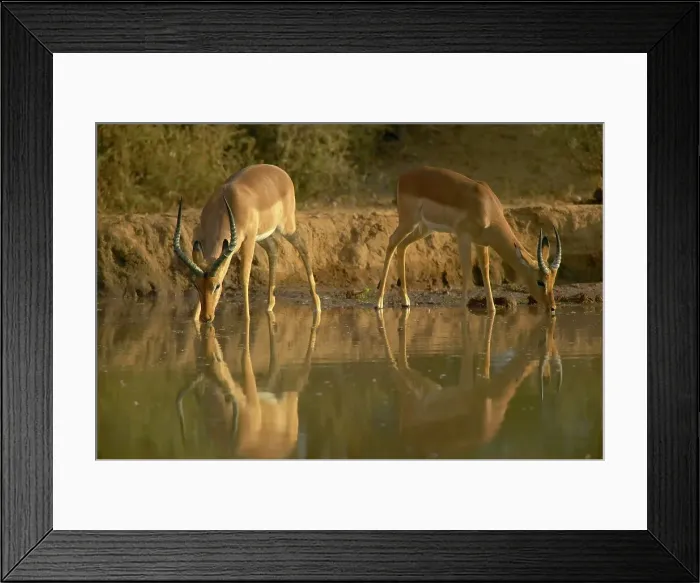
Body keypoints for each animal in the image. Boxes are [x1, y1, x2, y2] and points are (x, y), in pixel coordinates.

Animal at [173, 164, 322, 324]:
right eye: (197, 286)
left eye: (217, 286)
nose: (207, 317)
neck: (224, 204)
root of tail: (280, 172)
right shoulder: (202, 236)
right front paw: (194, 319)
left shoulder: (249, 239)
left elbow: (244, 277)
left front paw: (247, 318)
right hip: (263, 237)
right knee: (273, 249)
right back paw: (270, 305)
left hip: (285, 228)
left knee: (303, 246)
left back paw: (317, 304)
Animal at [176, 312, 317, 459]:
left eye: (217, 359)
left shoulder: (251, 395)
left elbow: (245, 355)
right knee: (274, 368)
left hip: (290, 395)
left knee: (301, 378)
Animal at [376, 166, 563, 315]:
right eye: (540, 281)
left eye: (553, 280)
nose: (552, 307)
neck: (487, 208)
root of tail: (404, 176)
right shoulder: (463, 236)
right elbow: (466, 274)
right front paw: (463, 309)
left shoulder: (481, 243)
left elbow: (485, 273)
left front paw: (492, 310)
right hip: (408, 222)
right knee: (392, 242)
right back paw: (378, 303)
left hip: (423, 228)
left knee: (402, 246)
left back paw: (405, 301)